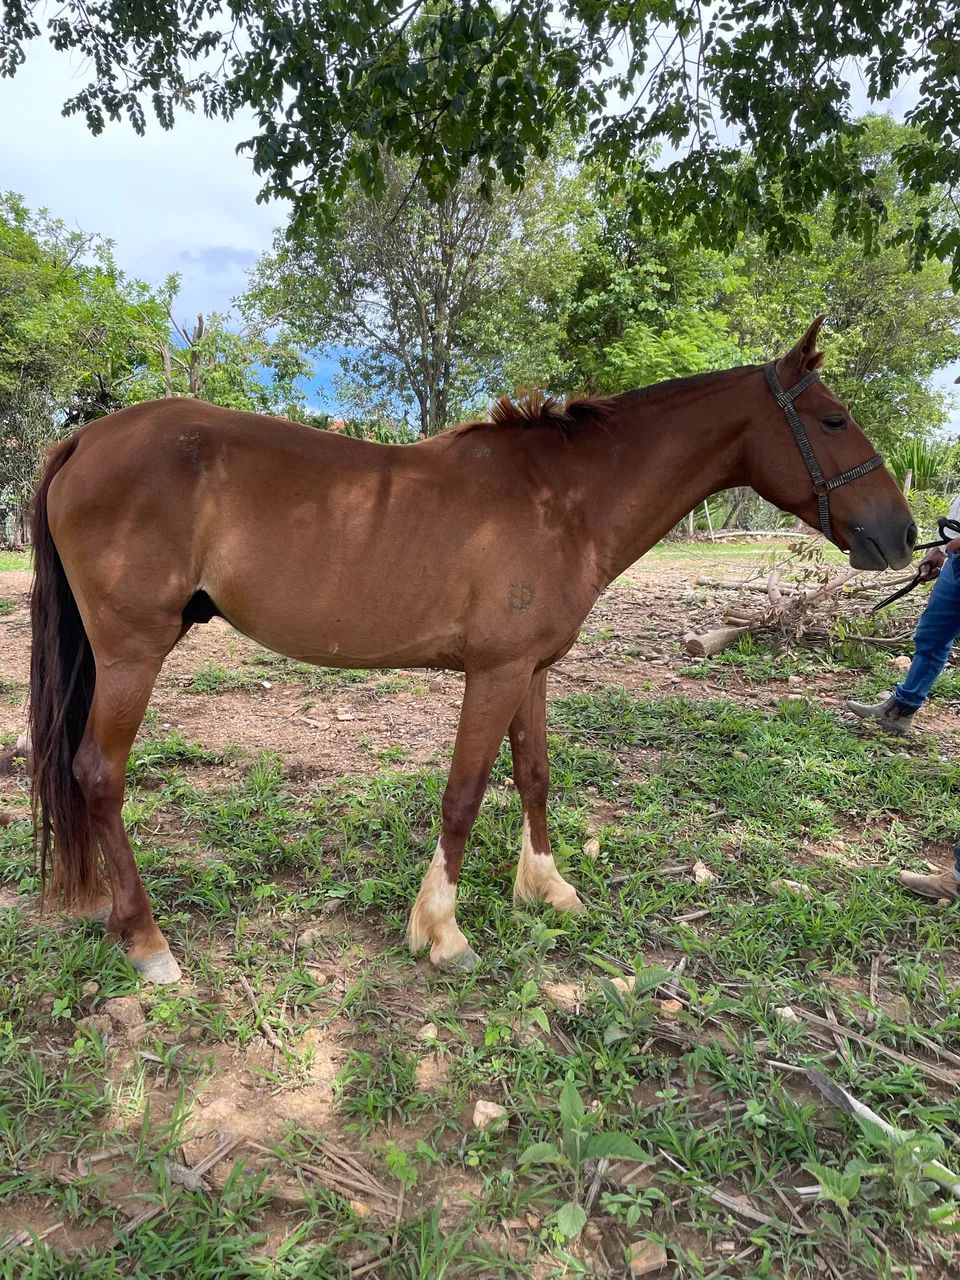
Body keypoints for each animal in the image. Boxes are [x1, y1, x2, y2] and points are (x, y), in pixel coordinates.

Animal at [28, 316, 916, 983]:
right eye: (833, 420)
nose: (904, 534)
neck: (562, 499)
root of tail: (86, 439)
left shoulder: (530, 672)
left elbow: (535, 776)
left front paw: (546, 888)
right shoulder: (492, 675)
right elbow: (463, 795)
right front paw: (441, 930)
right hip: (133, 655)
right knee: (98, 775)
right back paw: (148, 942)